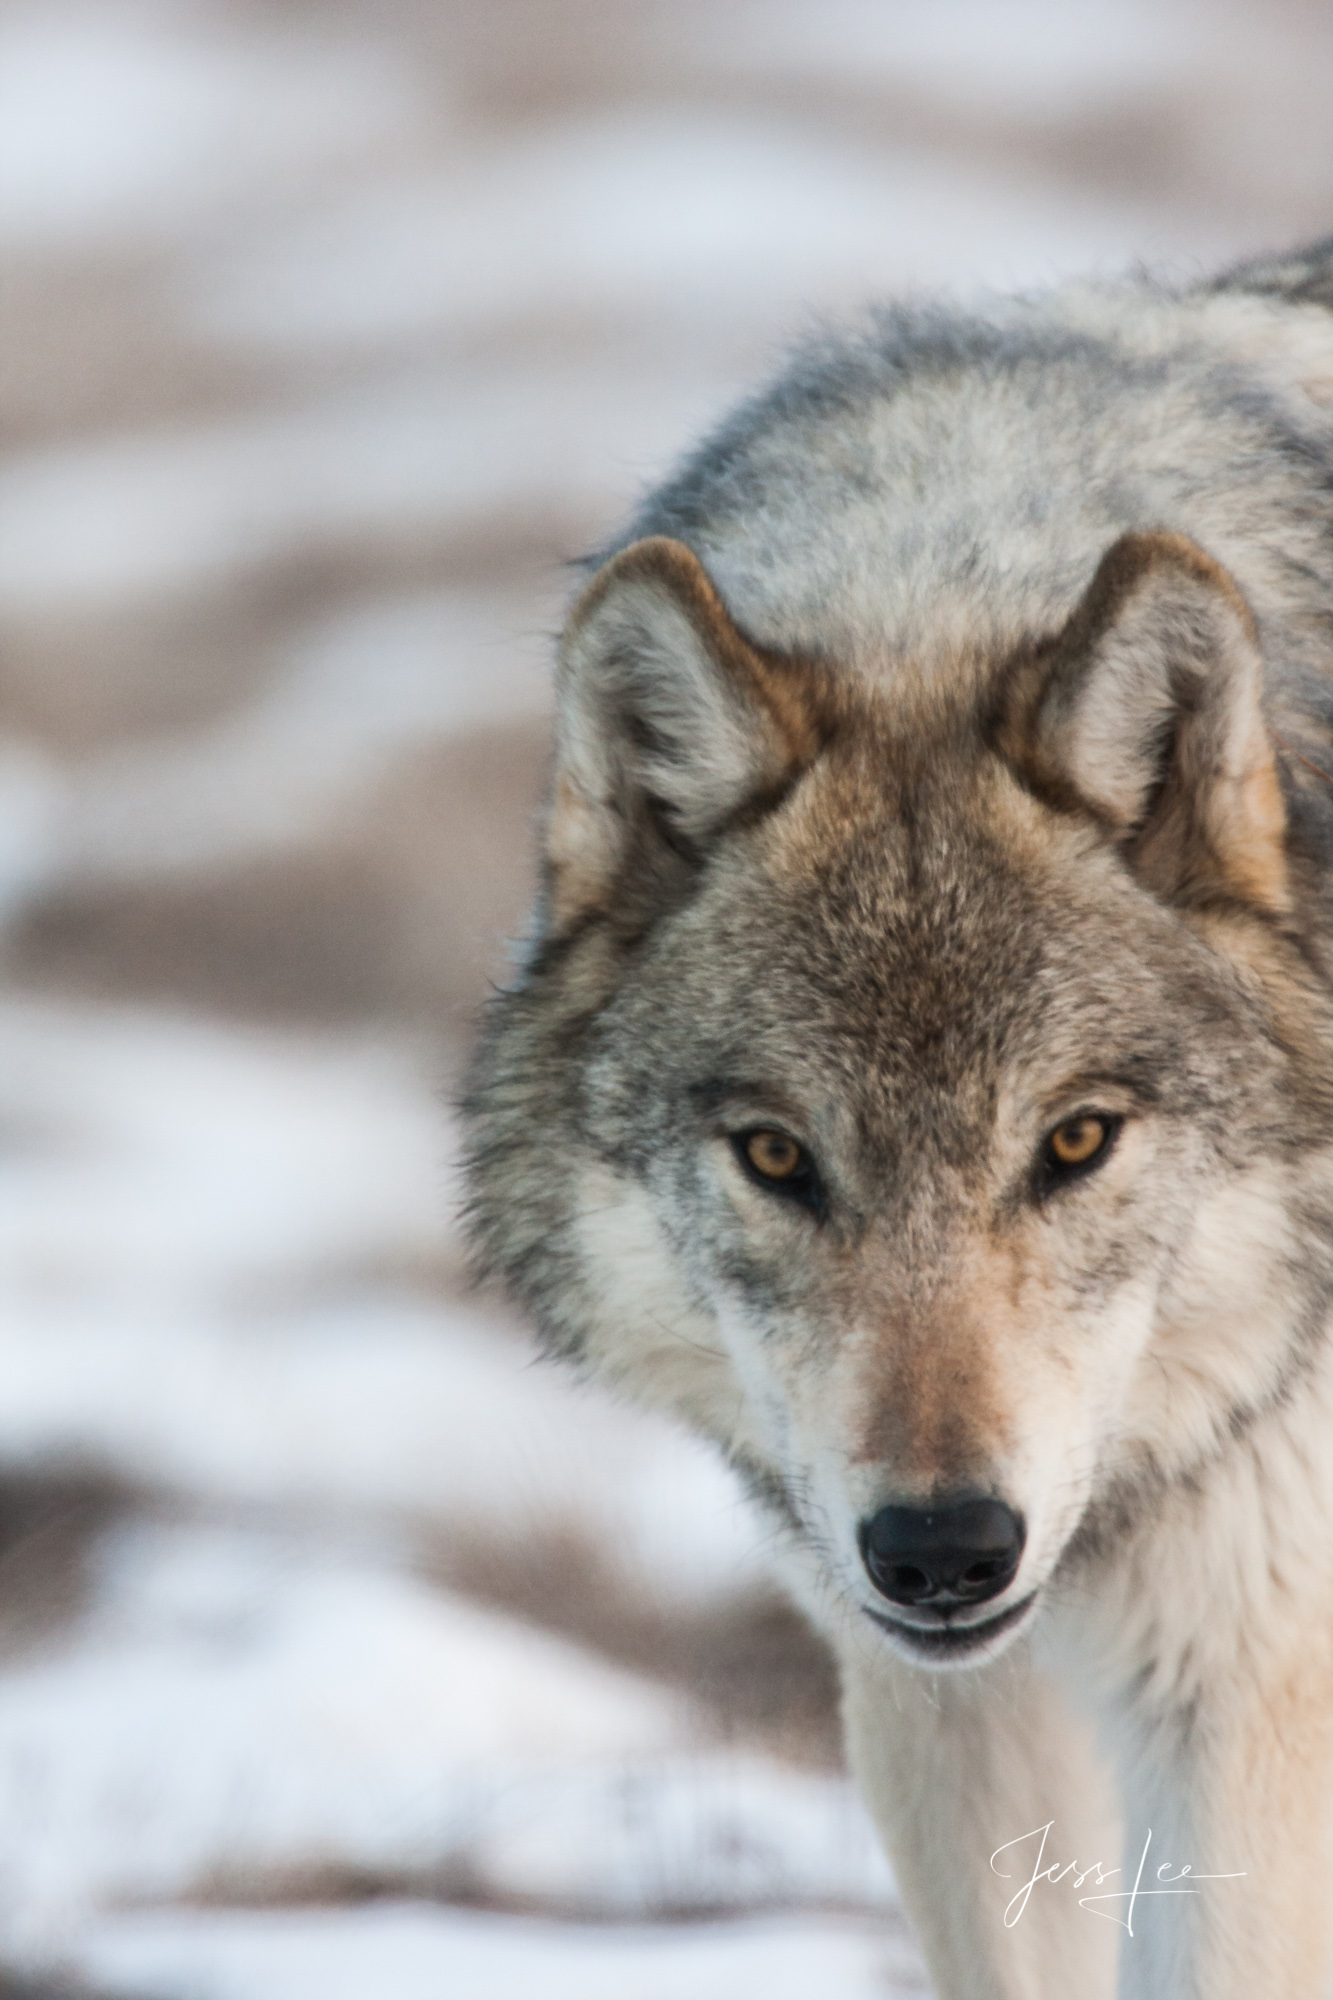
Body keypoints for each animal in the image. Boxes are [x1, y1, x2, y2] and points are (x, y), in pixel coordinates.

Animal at [462, 242, 1328, 1992]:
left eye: (1074, 1140)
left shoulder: (1249, 1700)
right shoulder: (953, 1708)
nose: (943, 1550)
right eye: (778, 1157)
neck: (944, 578)